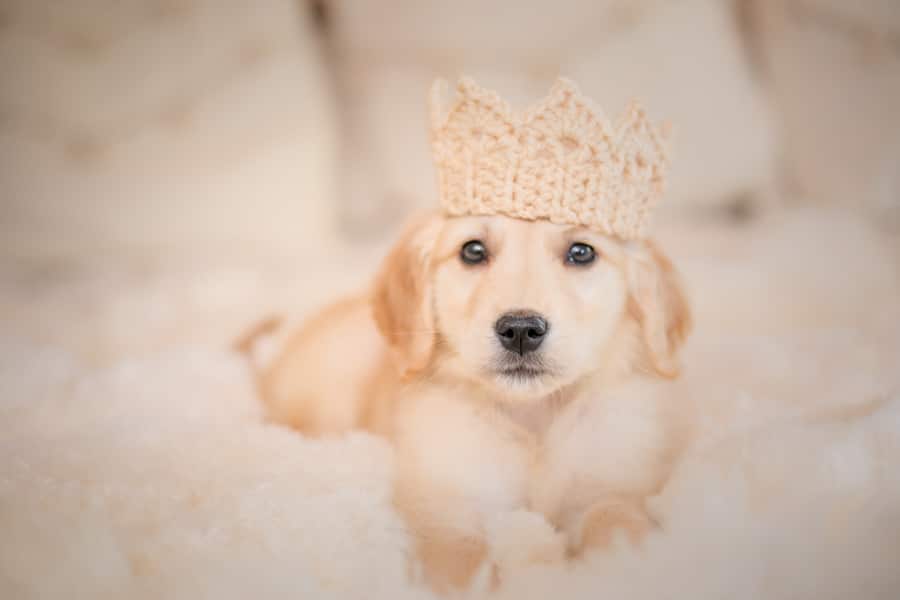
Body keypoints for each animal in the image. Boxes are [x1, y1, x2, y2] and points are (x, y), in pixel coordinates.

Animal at [243, 210, 692, 592]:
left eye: (581, 252)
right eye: (473, 251)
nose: (521, 330)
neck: (532, 415)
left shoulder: (612, 482)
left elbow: (615, 518)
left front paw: (622, 568)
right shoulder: (447, 510)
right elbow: (463, 564)